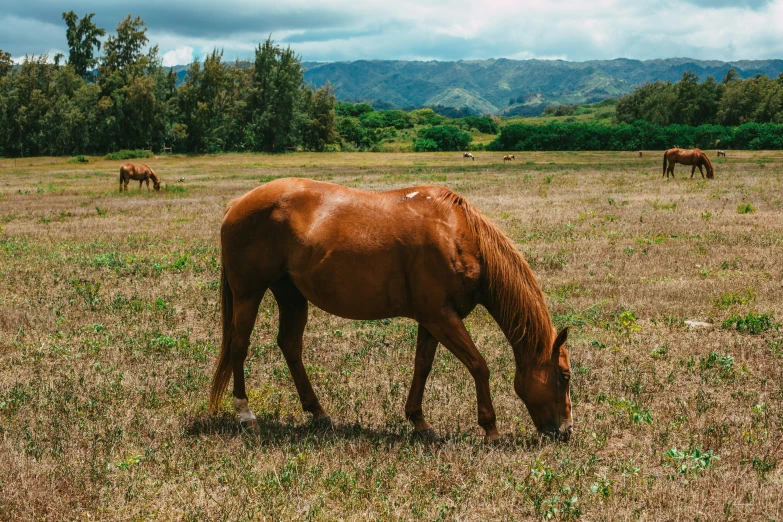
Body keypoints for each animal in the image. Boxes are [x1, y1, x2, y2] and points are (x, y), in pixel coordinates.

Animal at [211, 177, 572, 440]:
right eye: (565, 376)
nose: (566, 431)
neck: (457, 234)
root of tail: (236, 205)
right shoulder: (442, 317)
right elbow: (478, 365)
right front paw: (491, 428)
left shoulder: (432, 319)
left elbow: (422, 366)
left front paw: (419, 421)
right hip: (249, 294)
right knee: (239, 346)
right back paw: (246, 413)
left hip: (291, 296)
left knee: (289, 345)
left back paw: (318, 412)